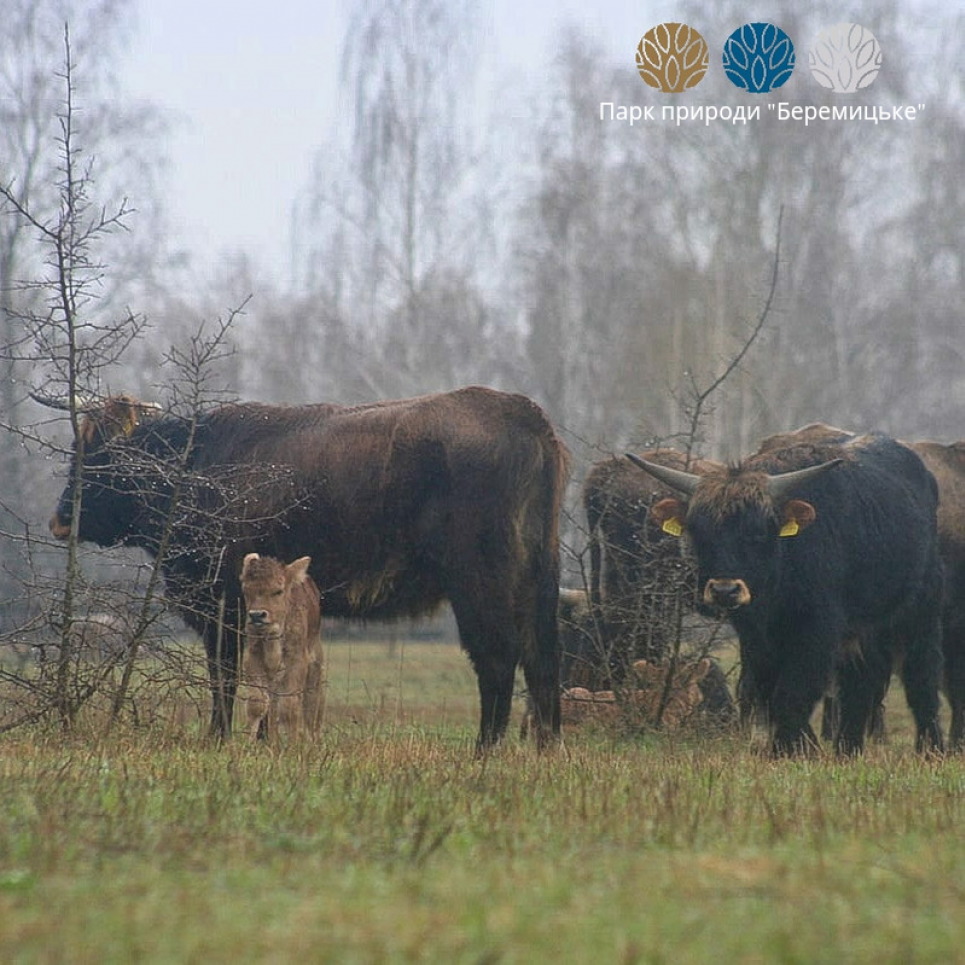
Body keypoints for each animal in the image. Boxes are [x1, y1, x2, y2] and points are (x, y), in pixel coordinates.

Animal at [240, 548, 324, 740]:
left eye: (278, 591)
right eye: (246, 590)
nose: (257, 615)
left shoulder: (297, 661)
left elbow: (290, 707)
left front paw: (294, 744)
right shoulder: (253, 658)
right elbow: (257, 704)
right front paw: (246, 743)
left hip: (315, 667)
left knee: (311, 707)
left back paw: (312, 739)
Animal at [624, 434, 940, 756]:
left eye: (758, 532)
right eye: (700, 533)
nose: (725, 590)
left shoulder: (817, 633)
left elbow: (793, 693)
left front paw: (786, 750)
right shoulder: (756, 641)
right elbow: (769, 694)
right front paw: (801, 747)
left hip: (920, 614)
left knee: (920, 681)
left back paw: (931, 748)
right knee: (861, 683)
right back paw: (847, 750)